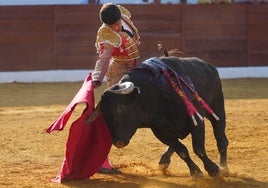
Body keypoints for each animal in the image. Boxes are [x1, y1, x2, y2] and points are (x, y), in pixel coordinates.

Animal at [89, 54, 229, 178]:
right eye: (104, 114)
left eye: (121, 108)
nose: (118, 142)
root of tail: (209, 66)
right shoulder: (160, 131)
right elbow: (181, 150)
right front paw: (196, 172)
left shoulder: (196, 120)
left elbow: (198, 148)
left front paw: (213, 170)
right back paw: (164, 161)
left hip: (217, 108)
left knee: (221, 139)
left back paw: (224, 168)